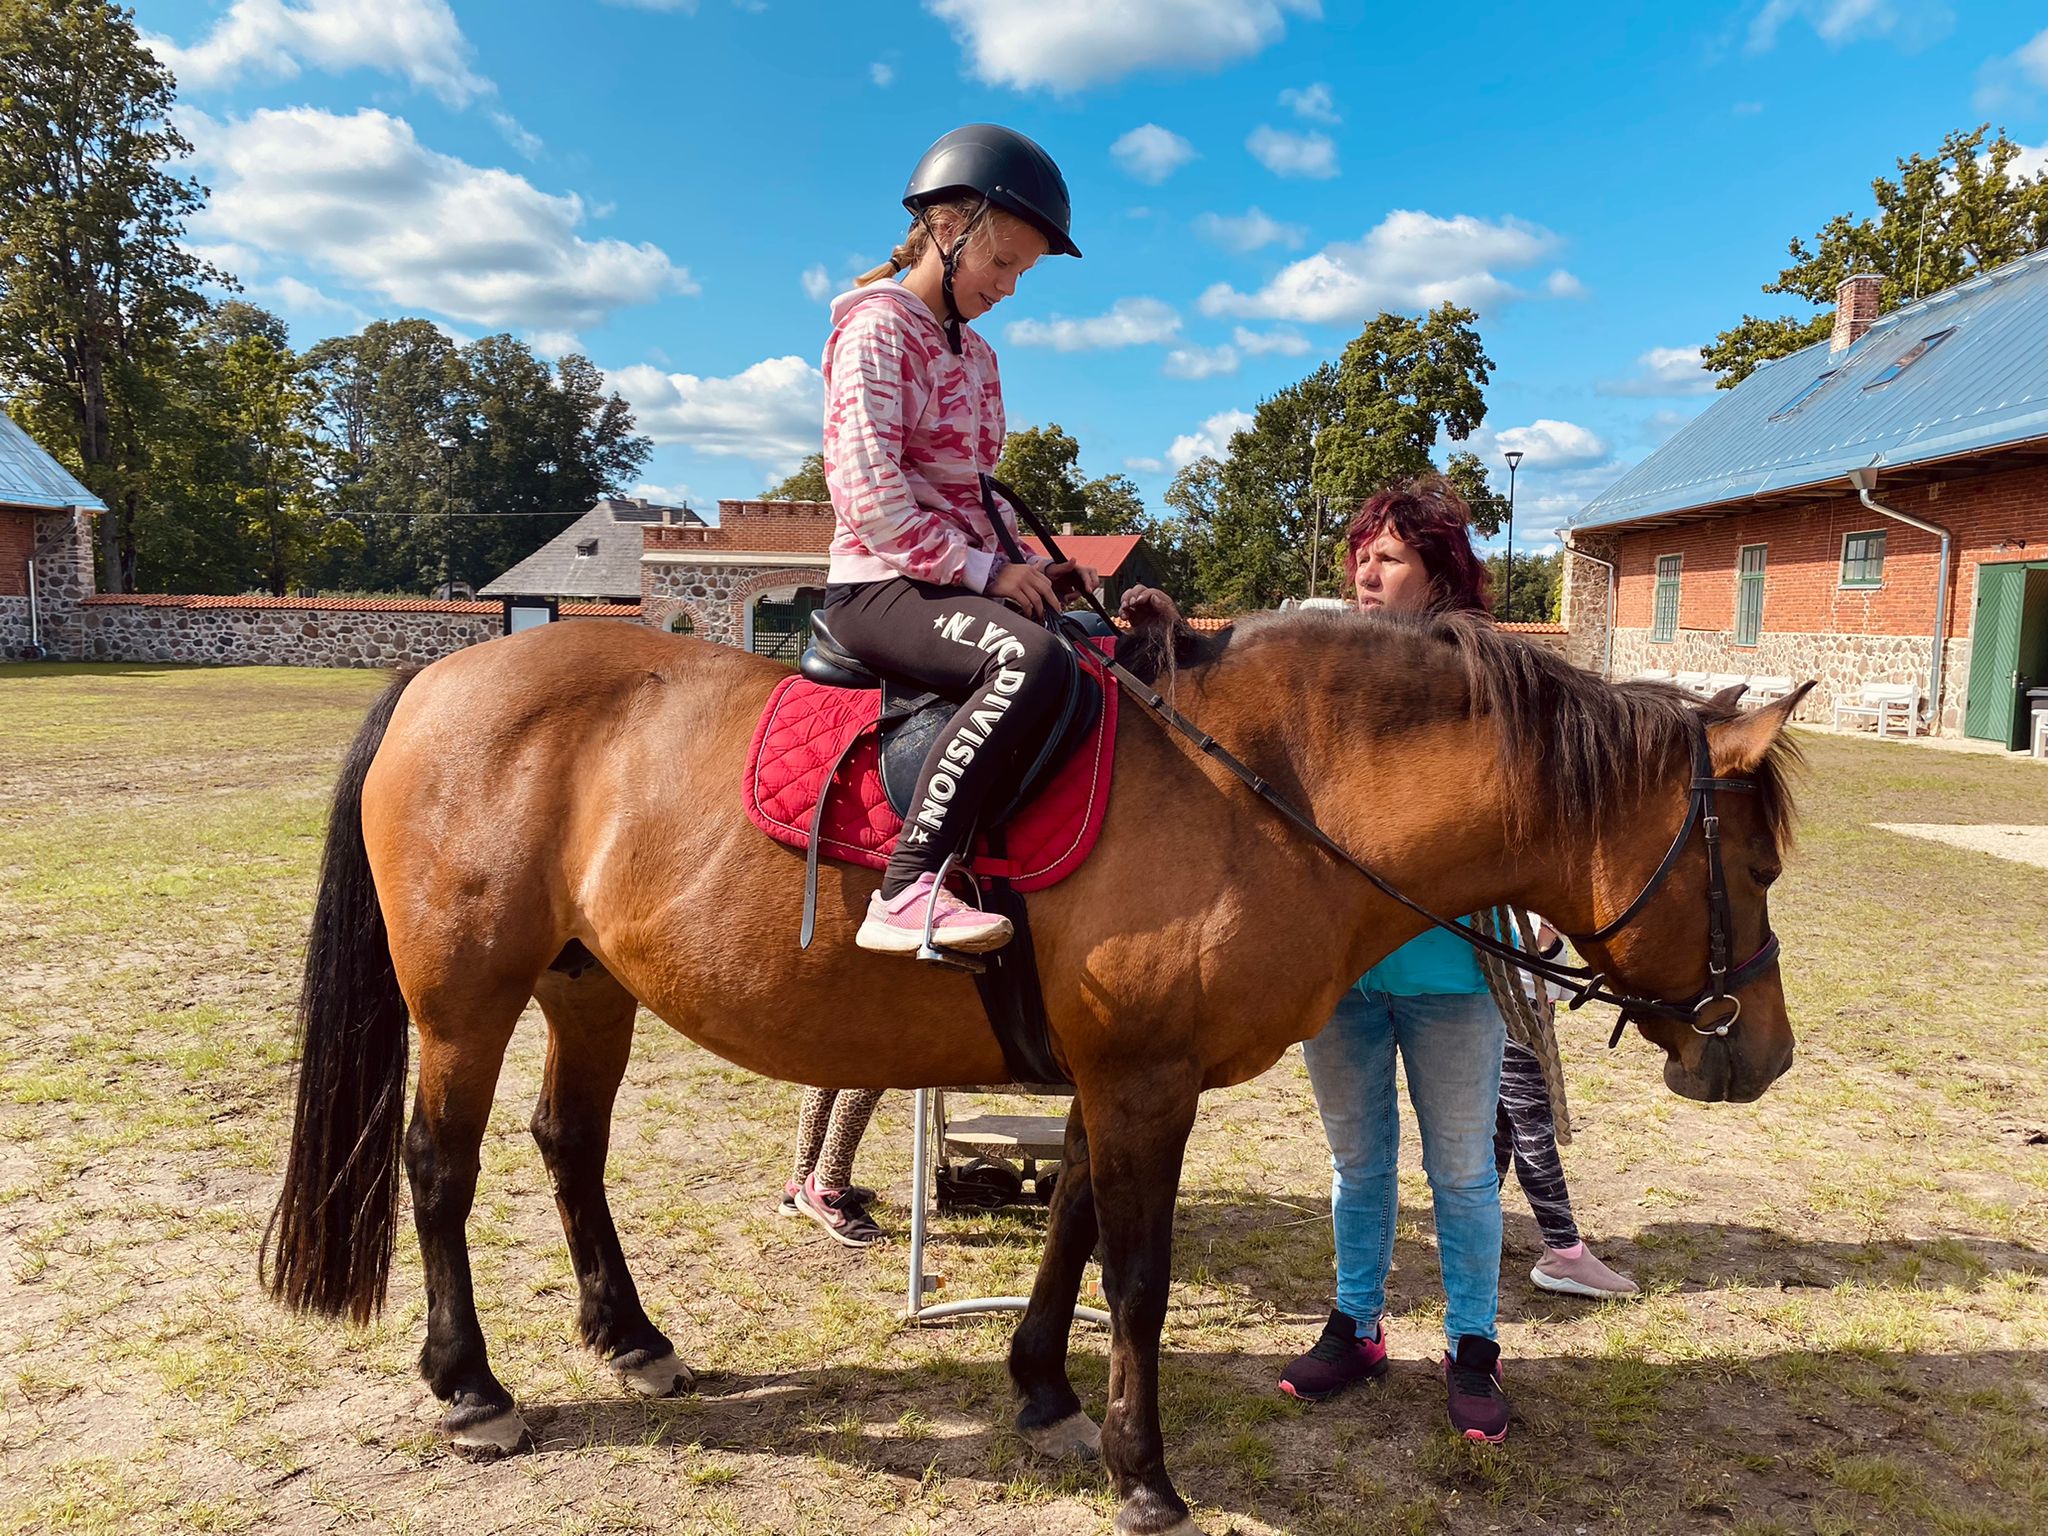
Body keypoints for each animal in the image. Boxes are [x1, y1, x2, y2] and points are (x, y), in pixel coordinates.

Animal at [260, 614, 1810, 1536]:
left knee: (567, 1146)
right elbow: (1138, 1272)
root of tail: (445, 674)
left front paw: (1045, 1394)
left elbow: (1069, 1229)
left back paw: (630, 1337)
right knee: (439, 1169)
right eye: (1753, 861)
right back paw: (472, 1387)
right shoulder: (1143, 1077)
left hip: (589, 988)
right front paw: (1143, 1471)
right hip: (464, 998)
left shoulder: (1110, 1075)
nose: (1763, 1055)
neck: (1267, 788)